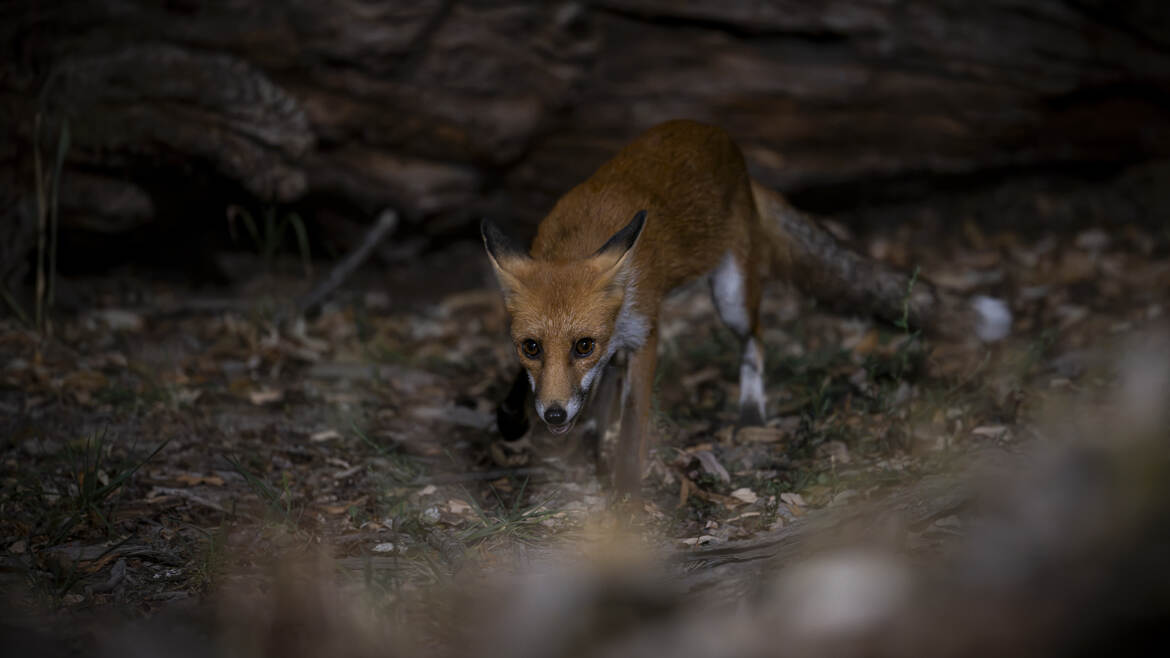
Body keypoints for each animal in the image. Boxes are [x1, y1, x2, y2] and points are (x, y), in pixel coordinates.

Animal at [482, 120, 1010, 493]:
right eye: (530, 347)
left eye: (583, 345)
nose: (553, 416)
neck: (584, 237)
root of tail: (731, 150)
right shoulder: (601, 341)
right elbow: (539, 386)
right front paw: (515, 417)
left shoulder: (644, 334)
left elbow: (633, 429)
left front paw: (626, 498)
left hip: (731, 296)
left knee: (755, 339)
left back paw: (751, 410)